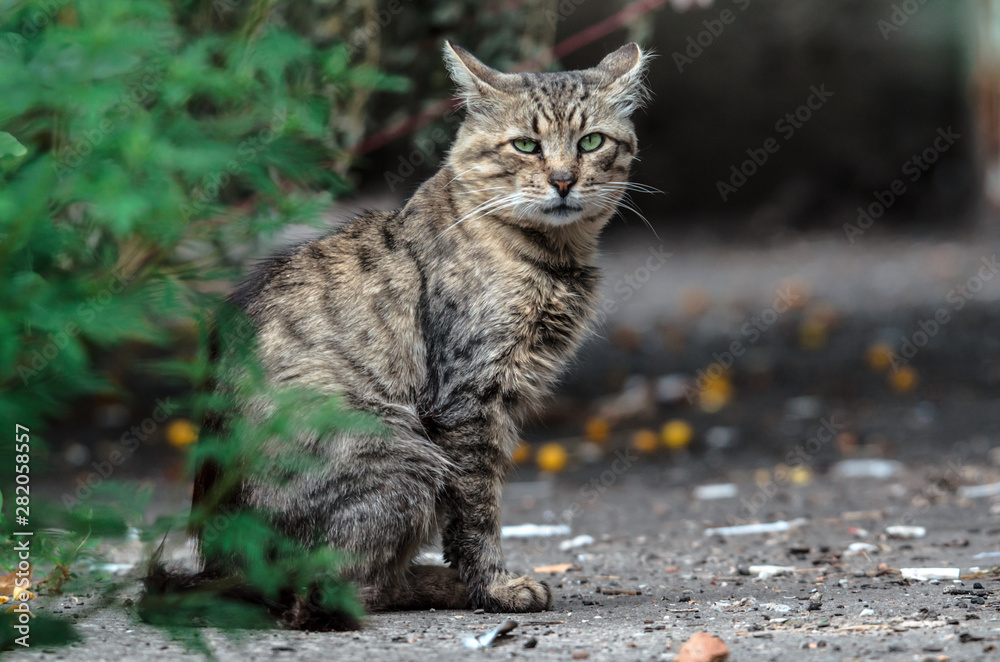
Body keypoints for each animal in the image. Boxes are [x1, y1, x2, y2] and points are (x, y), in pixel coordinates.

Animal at [168, 41, 649, 629]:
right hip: (401, 456)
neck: (555, 259)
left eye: (591, 142)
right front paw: (494, 588)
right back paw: (442, 586)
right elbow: (477, 515)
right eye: (525, 145)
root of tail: (228, 569)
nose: (563, 180)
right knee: (336, 591)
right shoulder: (469, 399)